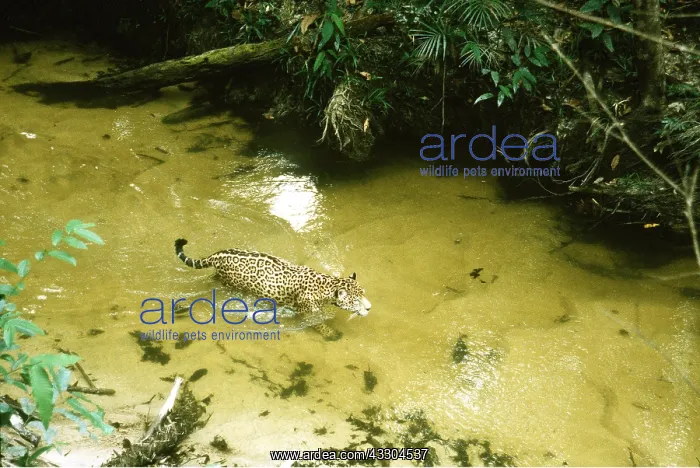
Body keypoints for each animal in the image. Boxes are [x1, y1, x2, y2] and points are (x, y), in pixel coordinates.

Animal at [174, 239, 371, 340]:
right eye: (356, 300)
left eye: (363, 294)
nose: (369, 308)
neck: (327, 286)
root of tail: (217, 255)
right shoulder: (306, 312)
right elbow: (319, 324)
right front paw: (331, 334)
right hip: (228, 282)